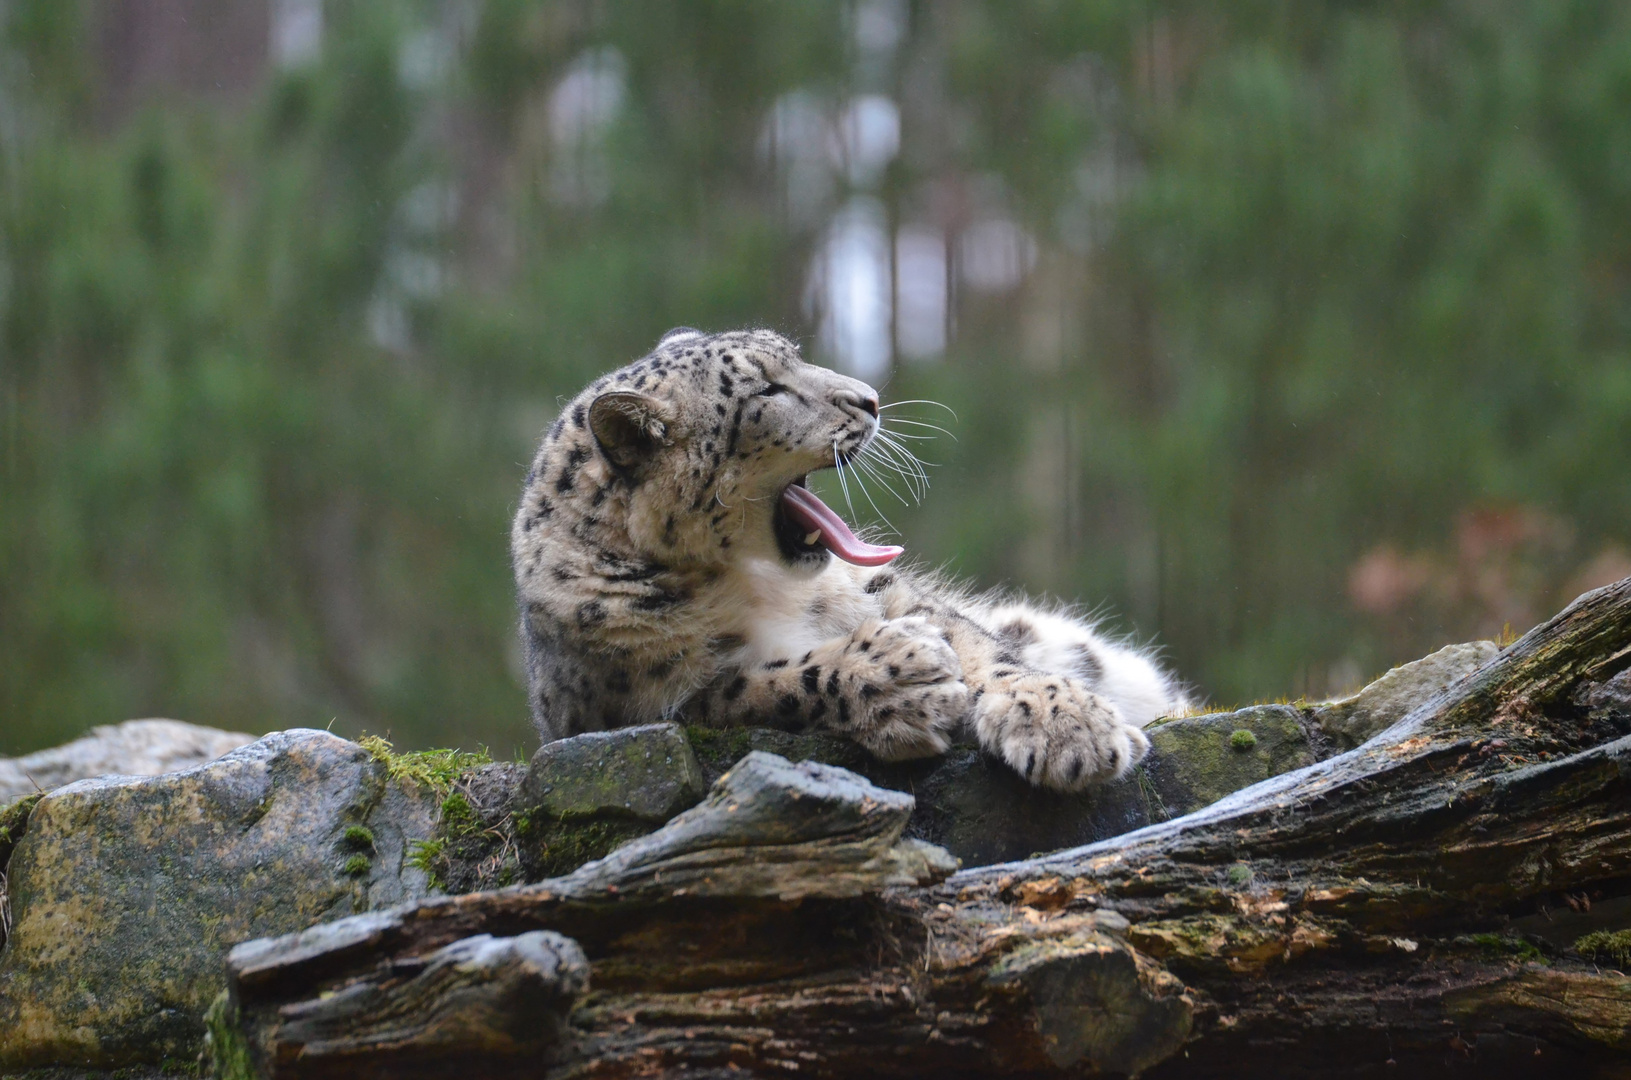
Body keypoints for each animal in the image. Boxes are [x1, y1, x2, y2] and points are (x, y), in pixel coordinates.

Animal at [508, 326, 1187, 792]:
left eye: (793, 353)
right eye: (767, 389)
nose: (870, 399)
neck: (757, 583)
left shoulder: (884, 587)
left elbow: (976, 642)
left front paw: (1065, 721)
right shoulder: (642, 705)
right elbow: (761, 685)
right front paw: (897, 677)